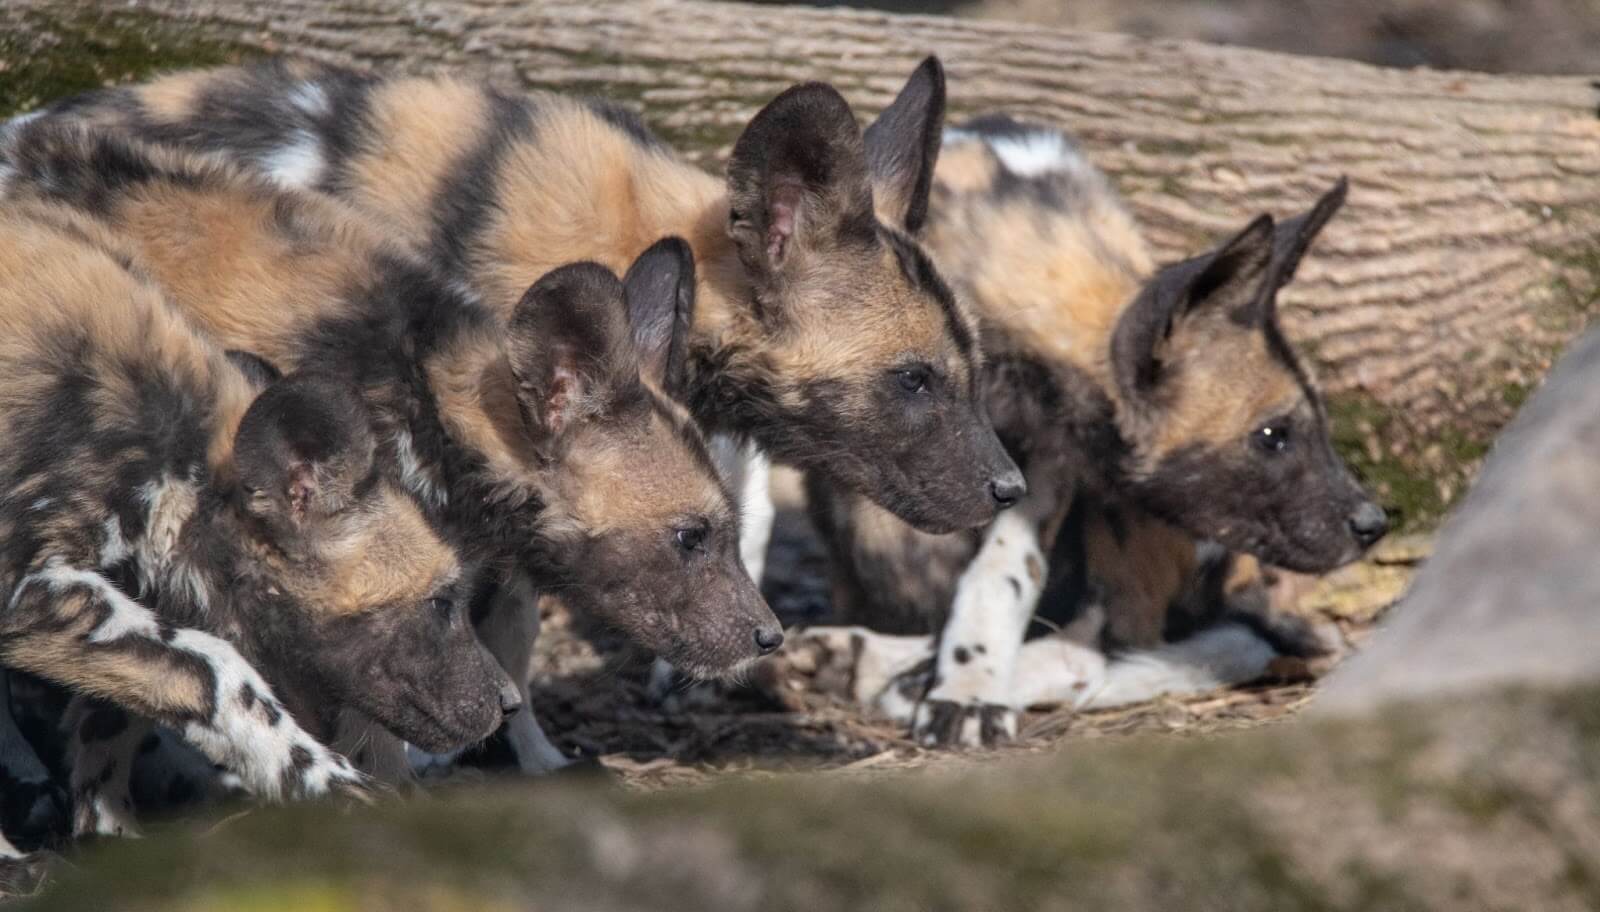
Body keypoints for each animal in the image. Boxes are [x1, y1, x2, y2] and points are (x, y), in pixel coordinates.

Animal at [0, 200, 512, 838]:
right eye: (441, 603)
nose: (510, 703)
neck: (176, 453)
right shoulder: (30, 588)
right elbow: (220, 674)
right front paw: (338, 790)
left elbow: (114, 723)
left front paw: (111, 835)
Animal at [806, 116, 1382, 742]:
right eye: (1274, 435)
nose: (1374, 523)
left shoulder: (1048, 461)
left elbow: (1004, 575)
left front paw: (967, 691)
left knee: (1103, 646)